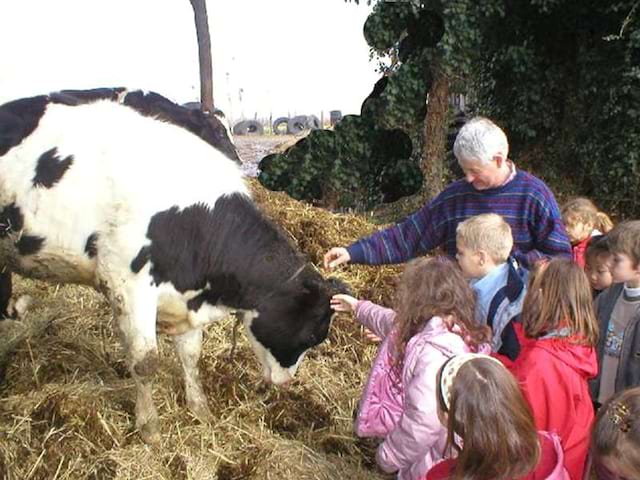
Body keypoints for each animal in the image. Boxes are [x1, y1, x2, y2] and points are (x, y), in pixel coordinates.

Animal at [0, 95, 344, 444]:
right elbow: (145, 362)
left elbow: (191, 356)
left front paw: (200, 410)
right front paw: (150, 428)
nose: (286, 382)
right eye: (313, 334)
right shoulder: (127, 285)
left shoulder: (186, 297)